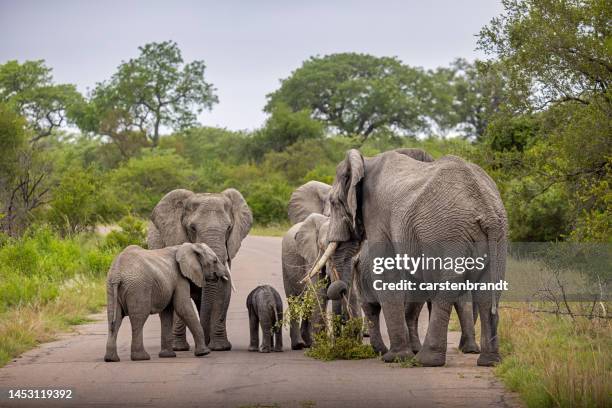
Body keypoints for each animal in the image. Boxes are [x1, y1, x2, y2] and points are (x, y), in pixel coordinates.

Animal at [147, 188, 252, 350]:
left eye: (229, 228)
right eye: (193, 228)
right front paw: (179, 348)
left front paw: (220, 347)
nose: (207, 342)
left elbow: (223, 290)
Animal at [310, 147, 506, 366]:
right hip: (498, 236)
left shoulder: (377, 214)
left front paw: (395, 358)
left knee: (447, 288)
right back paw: (489, 362)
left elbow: (386, 271)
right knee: (488, 290)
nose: (340, 288)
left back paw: (425, 360)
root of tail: (486, 209)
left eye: (334, 202)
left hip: (448, 235)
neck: (365, 162)